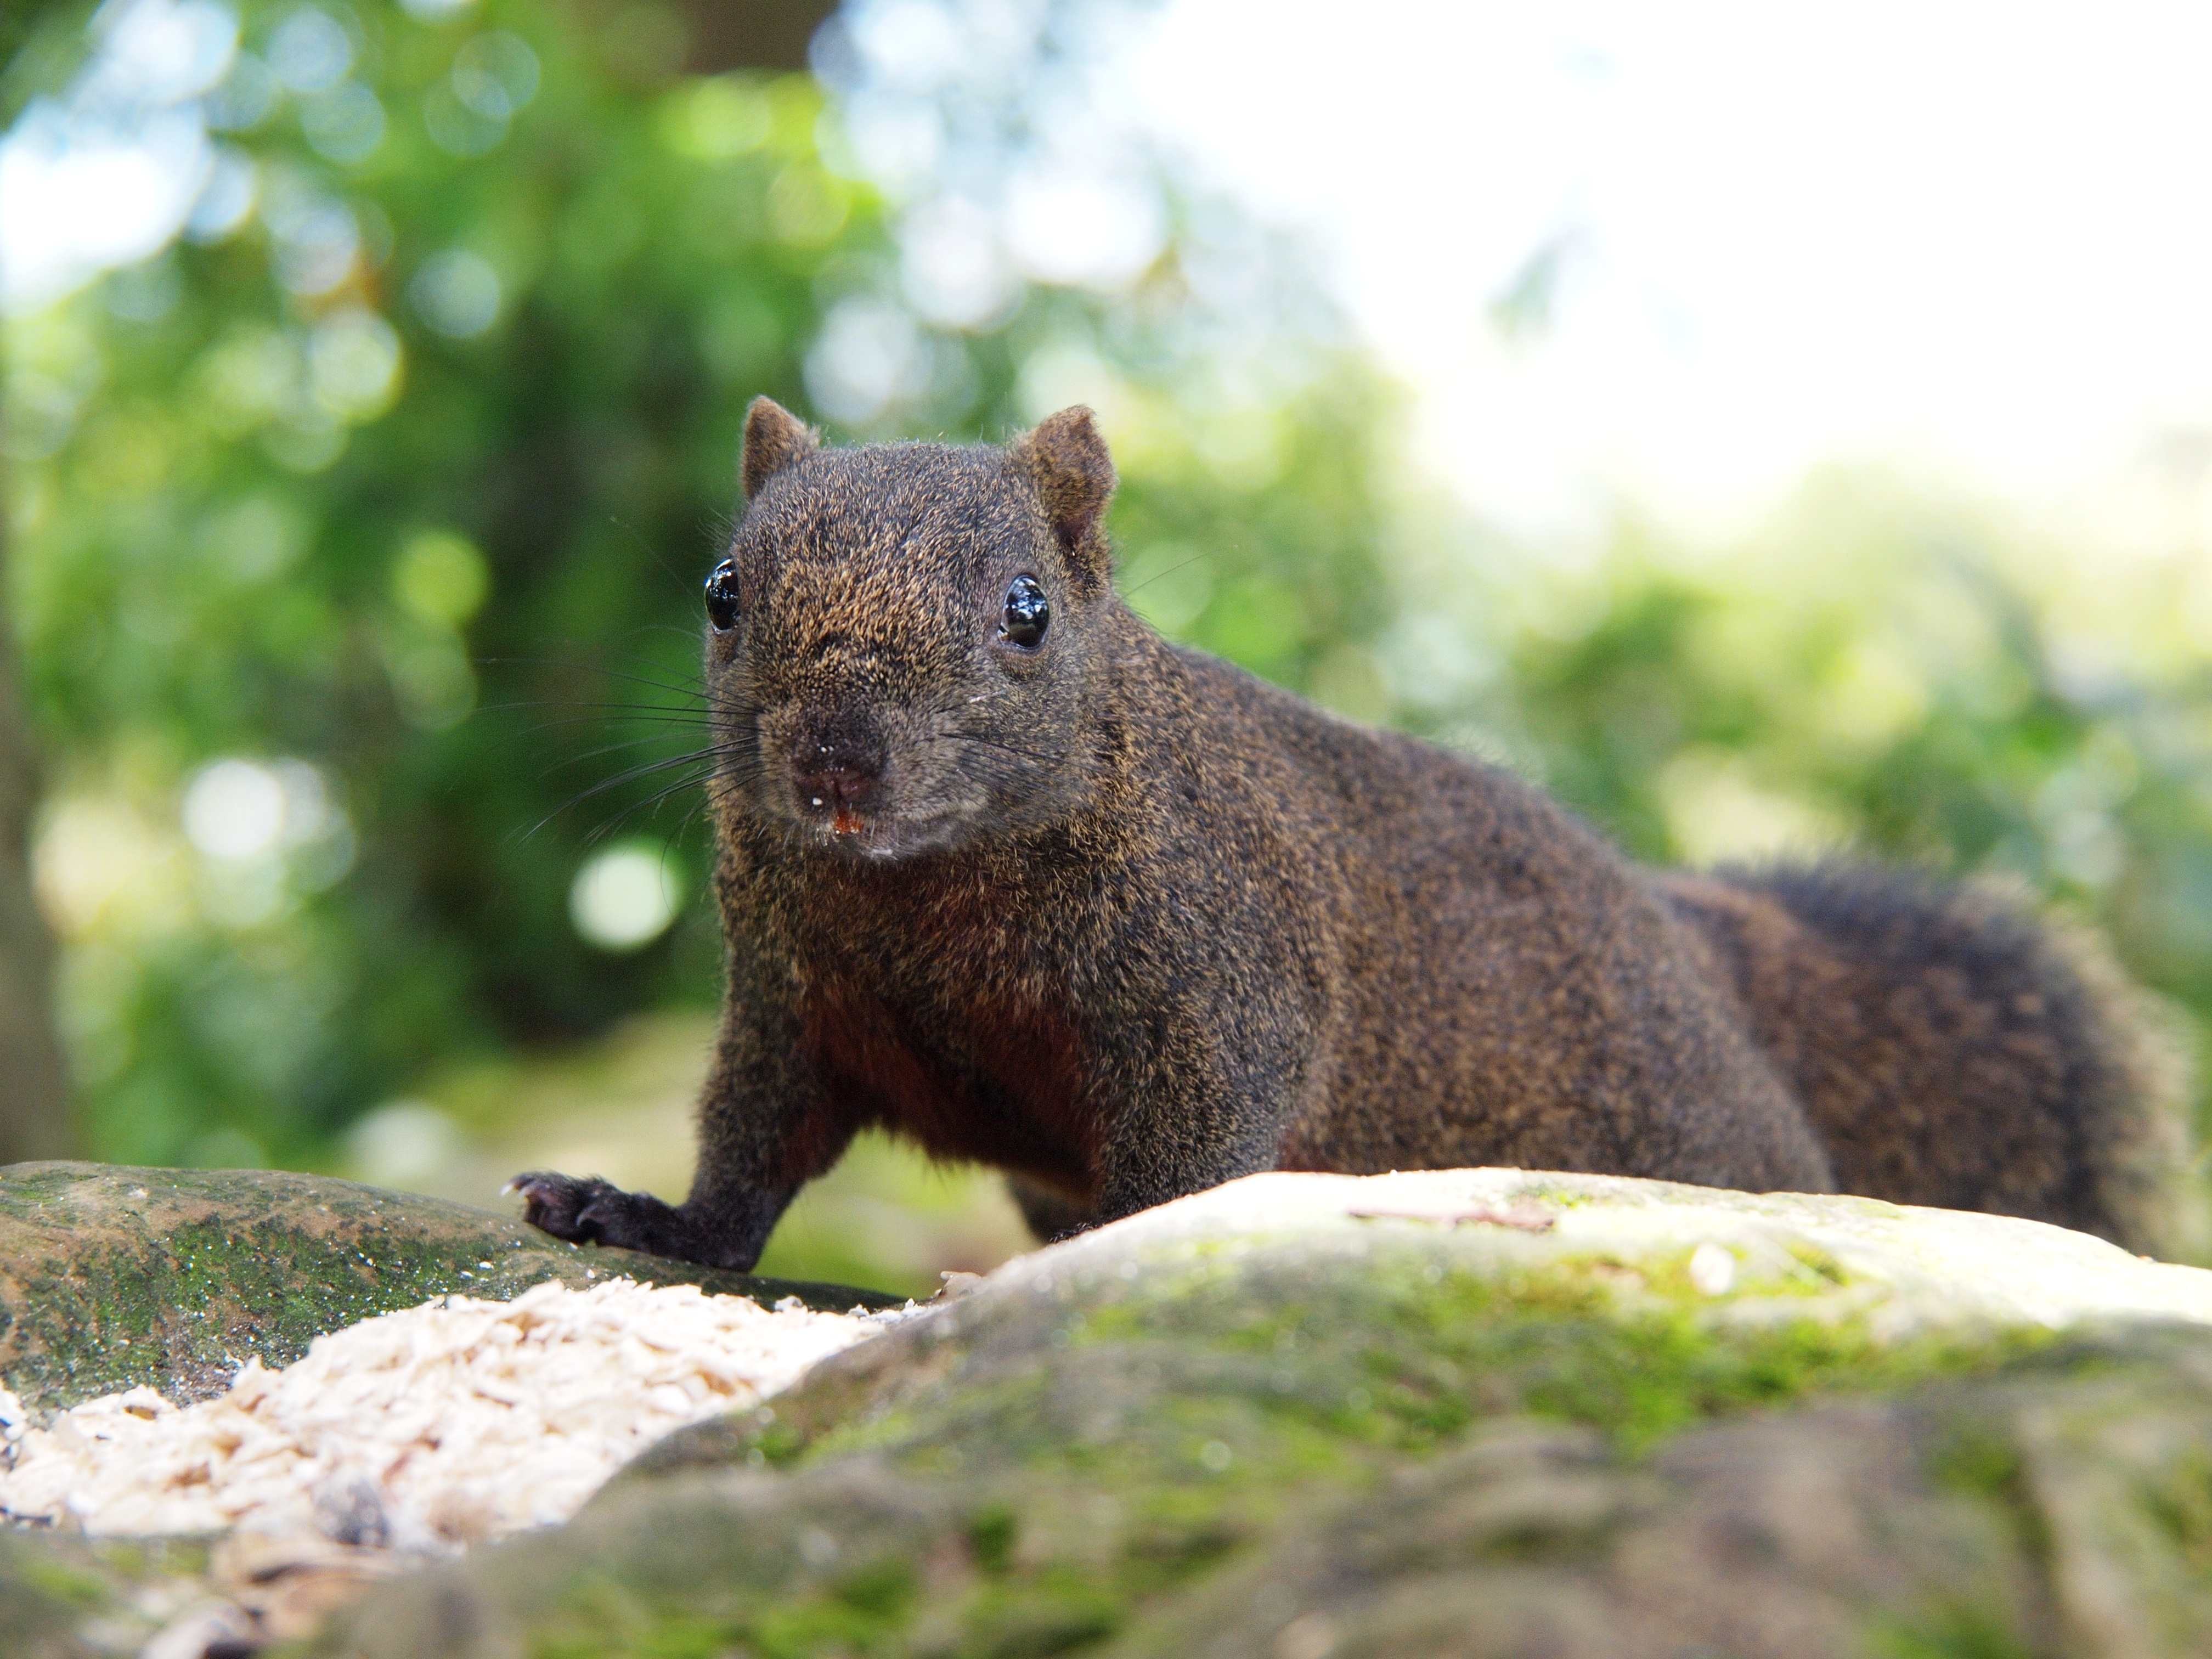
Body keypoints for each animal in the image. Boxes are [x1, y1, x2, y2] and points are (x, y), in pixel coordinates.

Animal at [513, 402, 2194, 1274]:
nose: (835, 764)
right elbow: (754, 1146)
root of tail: (1699, 953)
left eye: (1026, 612)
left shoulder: (1224, 976)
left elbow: (1200, 1147)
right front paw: (640, 1214)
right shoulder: (798, 1002)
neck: (922, 892)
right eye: (725, 592)